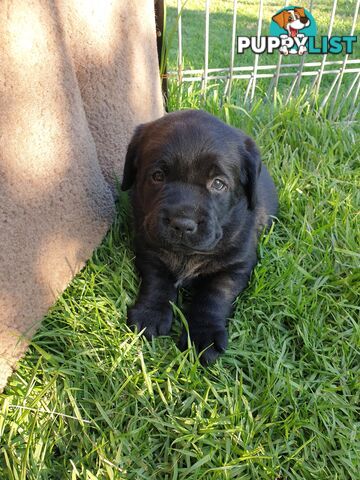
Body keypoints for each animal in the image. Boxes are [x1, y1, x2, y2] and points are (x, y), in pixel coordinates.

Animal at [121, 109, 278, 364]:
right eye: (157, 176)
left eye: (218, 184)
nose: (183, 224)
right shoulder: (149, 248)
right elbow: (157, 281)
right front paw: (150, 314)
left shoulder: (236, 264)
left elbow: (214, 296)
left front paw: (203, 334)